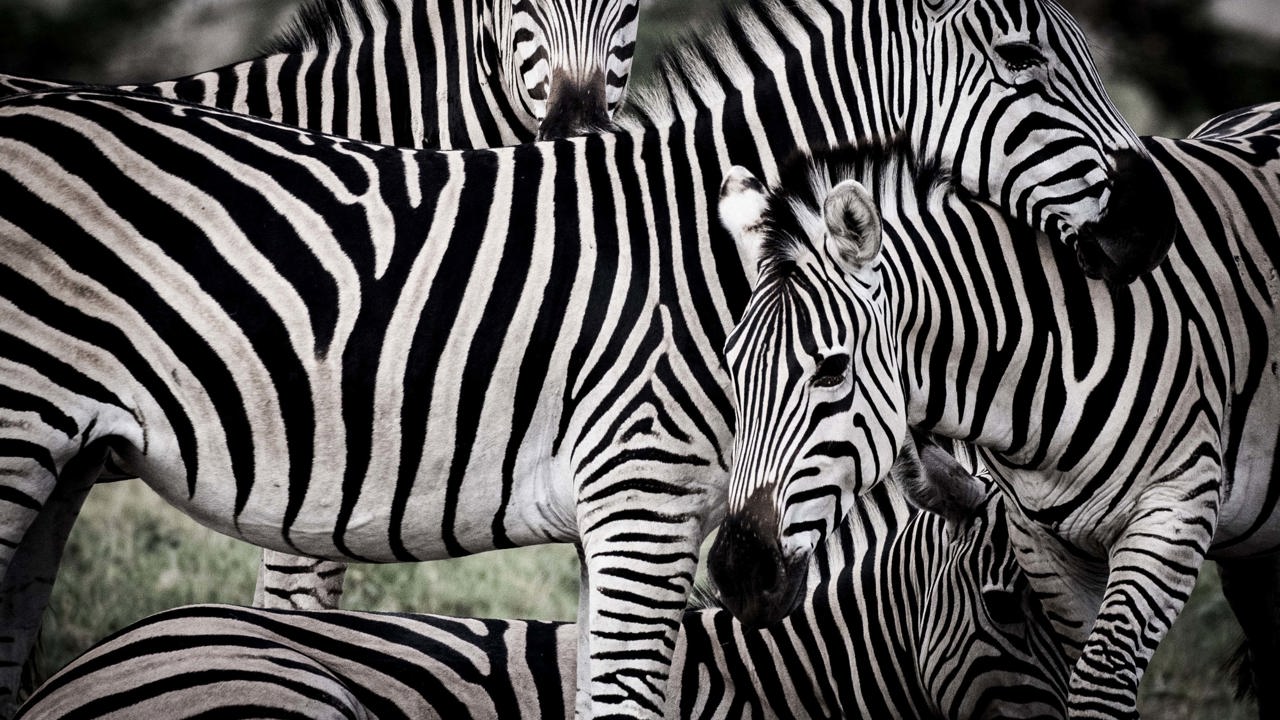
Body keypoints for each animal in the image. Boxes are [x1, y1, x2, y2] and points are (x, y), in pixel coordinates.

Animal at [0, 0, 1174, 714]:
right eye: (1020, 58)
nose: (1153, 223)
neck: (701, 250)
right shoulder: (638, 501)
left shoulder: (647, 520)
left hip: (61, 462)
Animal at [708, 106, 1280, 718]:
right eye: (731, 364)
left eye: (833, 370)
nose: (737, 572)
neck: (1050, 354)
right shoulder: (1041, 541)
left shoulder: (1174, 510)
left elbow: (1098, 680)